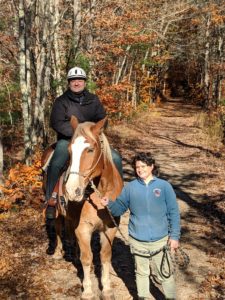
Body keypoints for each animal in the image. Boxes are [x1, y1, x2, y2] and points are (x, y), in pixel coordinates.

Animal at [45, 116, 123, 300]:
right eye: (70, 150)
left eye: (90, 149)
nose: (72, 190)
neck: (99, 193)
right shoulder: (83, 228)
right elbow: (87, 258)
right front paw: (87, 291)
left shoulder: (110, 228)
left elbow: (105, 256)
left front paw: (107, 289)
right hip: (58, 213)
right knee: (58, 229)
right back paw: (58, 252)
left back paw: (72, 254)